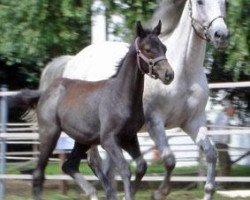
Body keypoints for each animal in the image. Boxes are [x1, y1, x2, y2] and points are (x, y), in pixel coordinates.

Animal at [11, 21, 174, 199]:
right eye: (147, 49)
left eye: (164, 48)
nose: (169, 74)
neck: (120, 96)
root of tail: (44, 93)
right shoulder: (108, 139)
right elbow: (124, 169)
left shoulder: (129, 138)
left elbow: (141, 166)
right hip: (50, 133)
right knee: (39, 174)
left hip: (82, 140)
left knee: (69, 165)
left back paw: (93, 193)